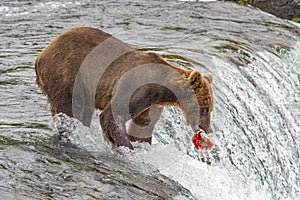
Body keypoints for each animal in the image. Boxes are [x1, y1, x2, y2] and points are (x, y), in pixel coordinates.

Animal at [35, 26, 213, 149]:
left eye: (210, 109)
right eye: (205, 108)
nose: (208, 129)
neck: (164, 88)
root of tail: (41, 55)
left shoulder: (152, 103)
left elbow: (143, 125)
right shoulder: (137, 86)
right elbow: (113, 115)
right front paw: (127, 146)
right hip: (68, 73)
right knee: (72, 107)